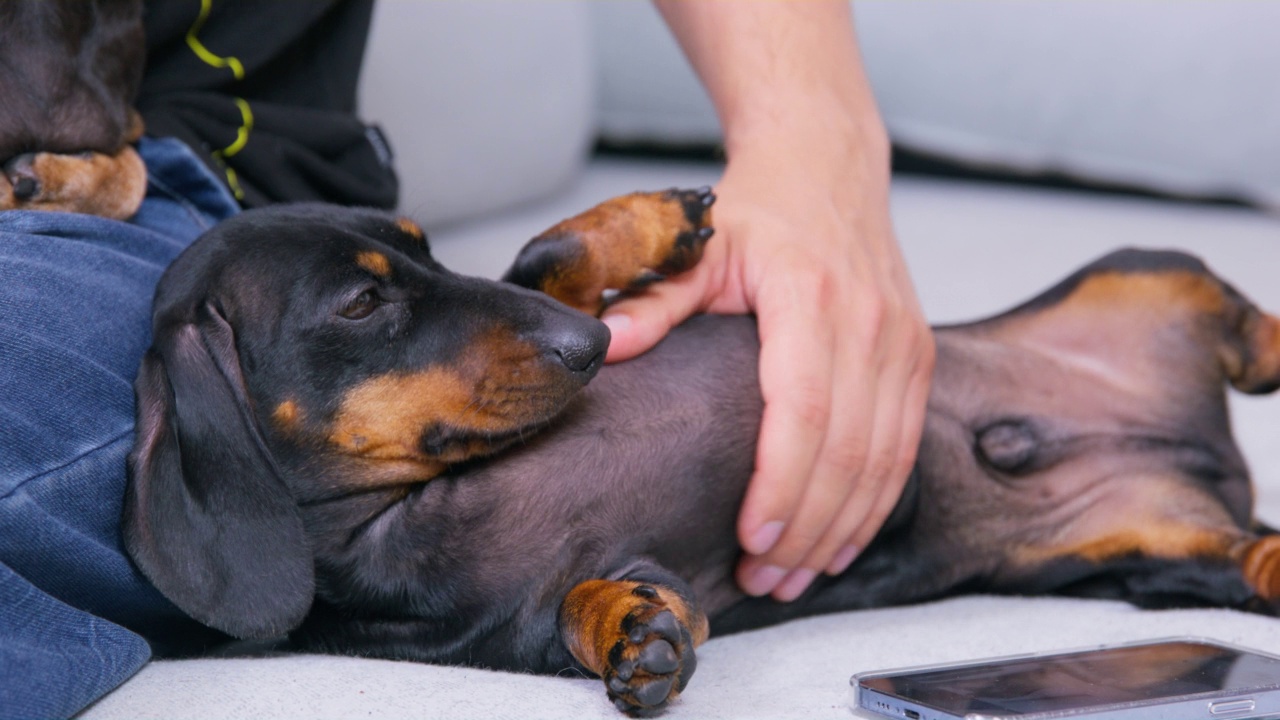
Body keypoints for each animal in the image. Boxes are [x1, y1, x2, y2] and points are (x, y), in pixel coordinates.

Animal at [122, 190, 1280, 712]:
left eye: (423, 247)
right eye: (362, 304)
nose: (587, 351)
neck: (429, 500)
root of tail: (1213, 462)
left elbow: (542, 259)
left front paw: (648, 220)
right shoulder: (527, 620)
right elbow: (588, 608)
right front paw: (635, 640)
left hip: (1139, 269)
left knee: (1238, 322)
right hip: (1162, 554)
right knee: (1246, 550)